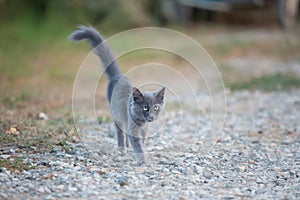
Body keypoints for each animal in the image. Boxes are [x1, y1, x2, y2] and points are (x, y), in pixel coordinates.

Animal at [69, 25, 165, 164]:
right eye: (145, 108)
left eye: (156, 108)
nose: (151, 117)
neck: (142, 123)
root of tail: (118, 76)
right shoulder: (133, 127)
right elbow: (138, 145)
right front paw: (142, 160)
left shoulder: (144, 130)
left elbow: (142, 142)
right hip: (116, 114)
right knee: (120, 132)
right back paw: (122, 149)